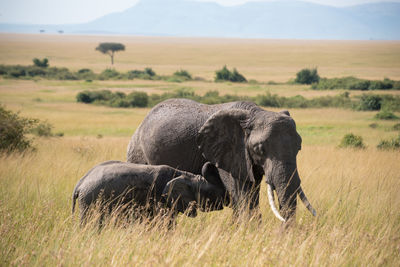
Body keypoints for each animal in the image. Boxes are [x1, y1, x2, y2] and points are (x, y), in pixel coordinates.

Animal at [72, 161, 228, 226]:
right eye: (211, 193)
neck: (186, 175)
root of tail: (80, 183)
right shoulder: (160, 198)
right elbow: (165, 223)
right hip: (91, 200)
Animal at [127, 99, 316, 223]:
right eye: (259, 149)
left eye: (299, 148)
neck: (255, 113)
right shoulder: (230, 151)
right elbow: (242, 193)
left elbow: (250, 191)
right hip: (138, 152)